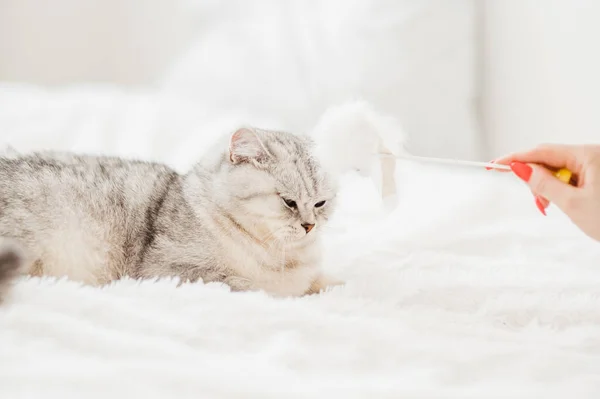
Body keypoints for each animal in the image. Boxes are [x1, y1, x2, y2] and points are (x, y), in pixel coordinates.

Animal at [0, 126, 342, 298]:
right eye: (288, 202)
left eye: (321, 204)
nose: (309, 226)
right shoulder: (167, 269)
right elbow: (245, 284)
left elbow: (327, 282)